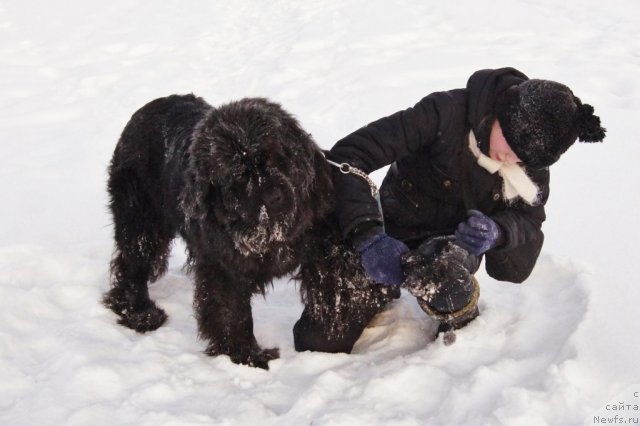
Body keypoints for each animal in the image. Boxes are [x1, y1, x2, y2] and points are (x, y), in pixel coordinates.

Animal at [104, 95, 396, 368]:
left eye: (278, 156)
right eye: (237, 175)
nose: (274, 195)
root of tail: (148, 108)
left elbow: (338, 271)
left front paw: (338, 318)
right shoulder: (223, 269)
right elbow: (233, 314)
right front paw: (247, 355)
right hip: (141, 220)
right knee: (133, 264)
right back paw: (140, 313)